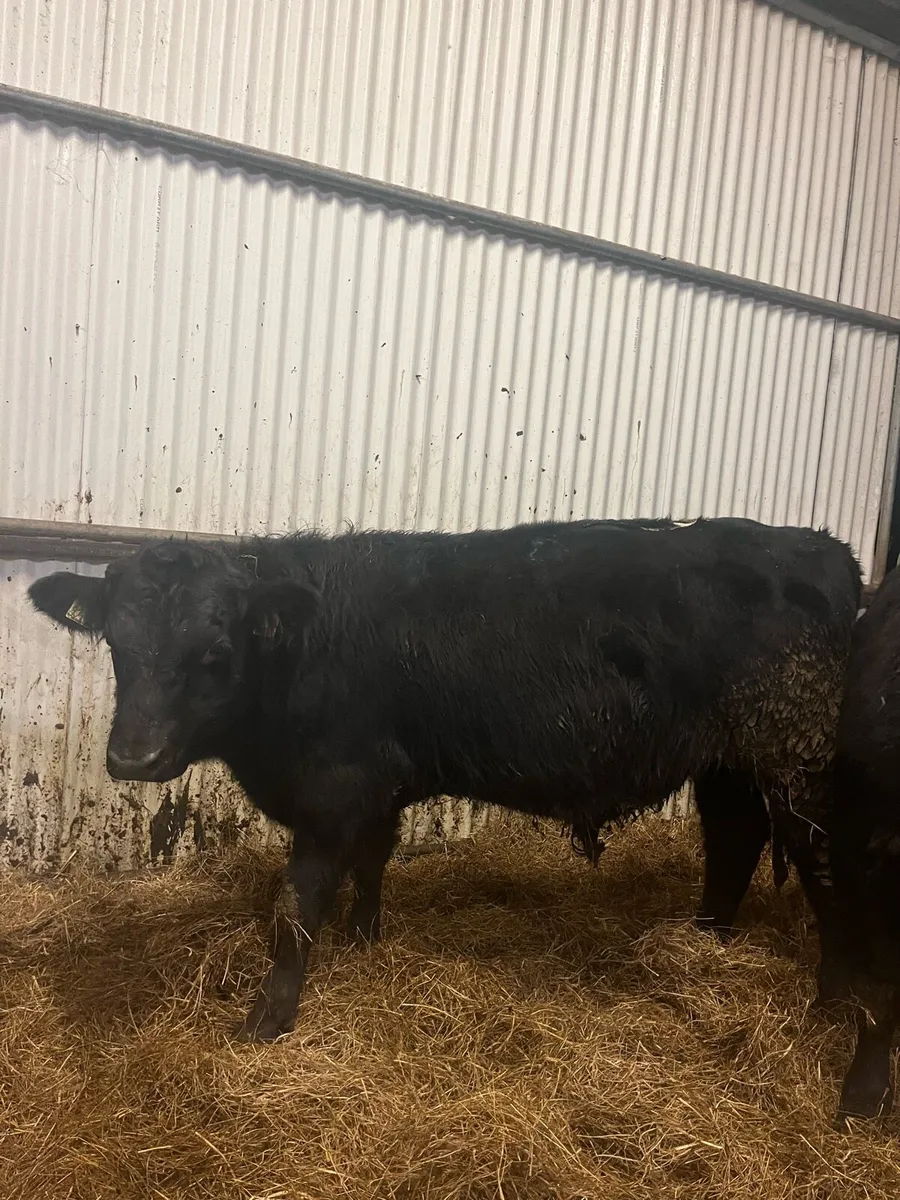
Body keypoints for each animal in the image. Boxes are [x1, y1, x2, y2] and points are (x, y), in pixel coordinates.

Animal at [29, 518, 860, 1042]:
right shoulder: (375, 788)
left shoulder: (333, 790)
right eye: (116, 642)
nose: (132, 758)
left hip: (795, 758)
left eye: (215, 650)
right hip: (731, 762)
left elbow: (295, 905)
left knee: (821, 865)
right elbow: (372, 864)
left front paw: (269, 1018)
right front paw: (364, 939)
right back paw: (705, 941)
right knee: (734, 842)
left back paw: (834, 1003)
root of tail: (818, 547)